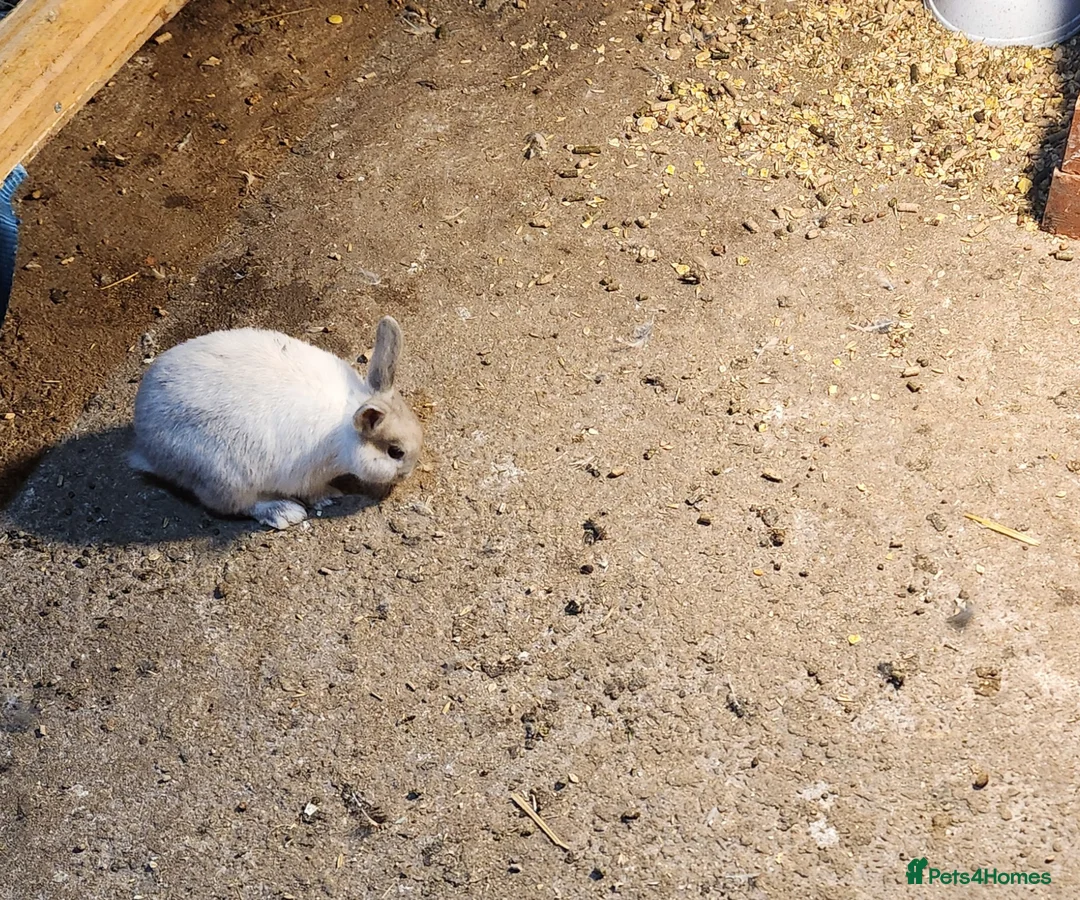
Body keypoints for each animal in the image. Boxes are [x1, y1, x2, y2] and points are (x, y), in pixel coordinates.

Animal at [129, 316, 423, 529]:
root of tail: (147, 450)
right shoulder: (308, 477)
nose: (407, 474)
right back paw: (284, 512)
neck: (346, 428)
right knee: (237, 506)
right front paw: (330, 497)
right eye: (395, 452)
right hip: (227, 478)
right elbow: (315, 492)